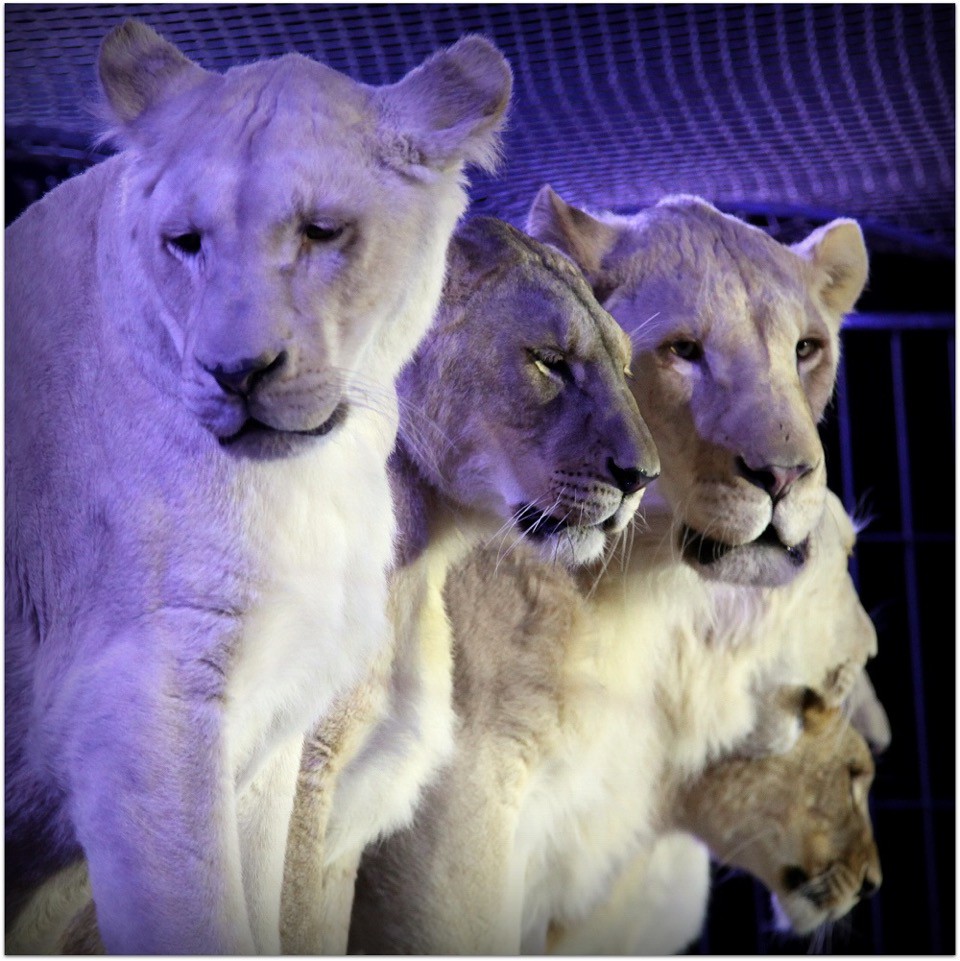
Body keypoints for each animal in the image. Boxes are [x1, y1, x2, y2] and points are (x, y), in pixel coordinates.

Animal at [4, 19, 511, 954]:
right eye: (186, 241)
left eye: (321, 231)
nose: (238, 372)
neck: (314, 484)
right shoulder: (143, 705)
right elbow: (199, 911)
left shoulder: (270, 726)